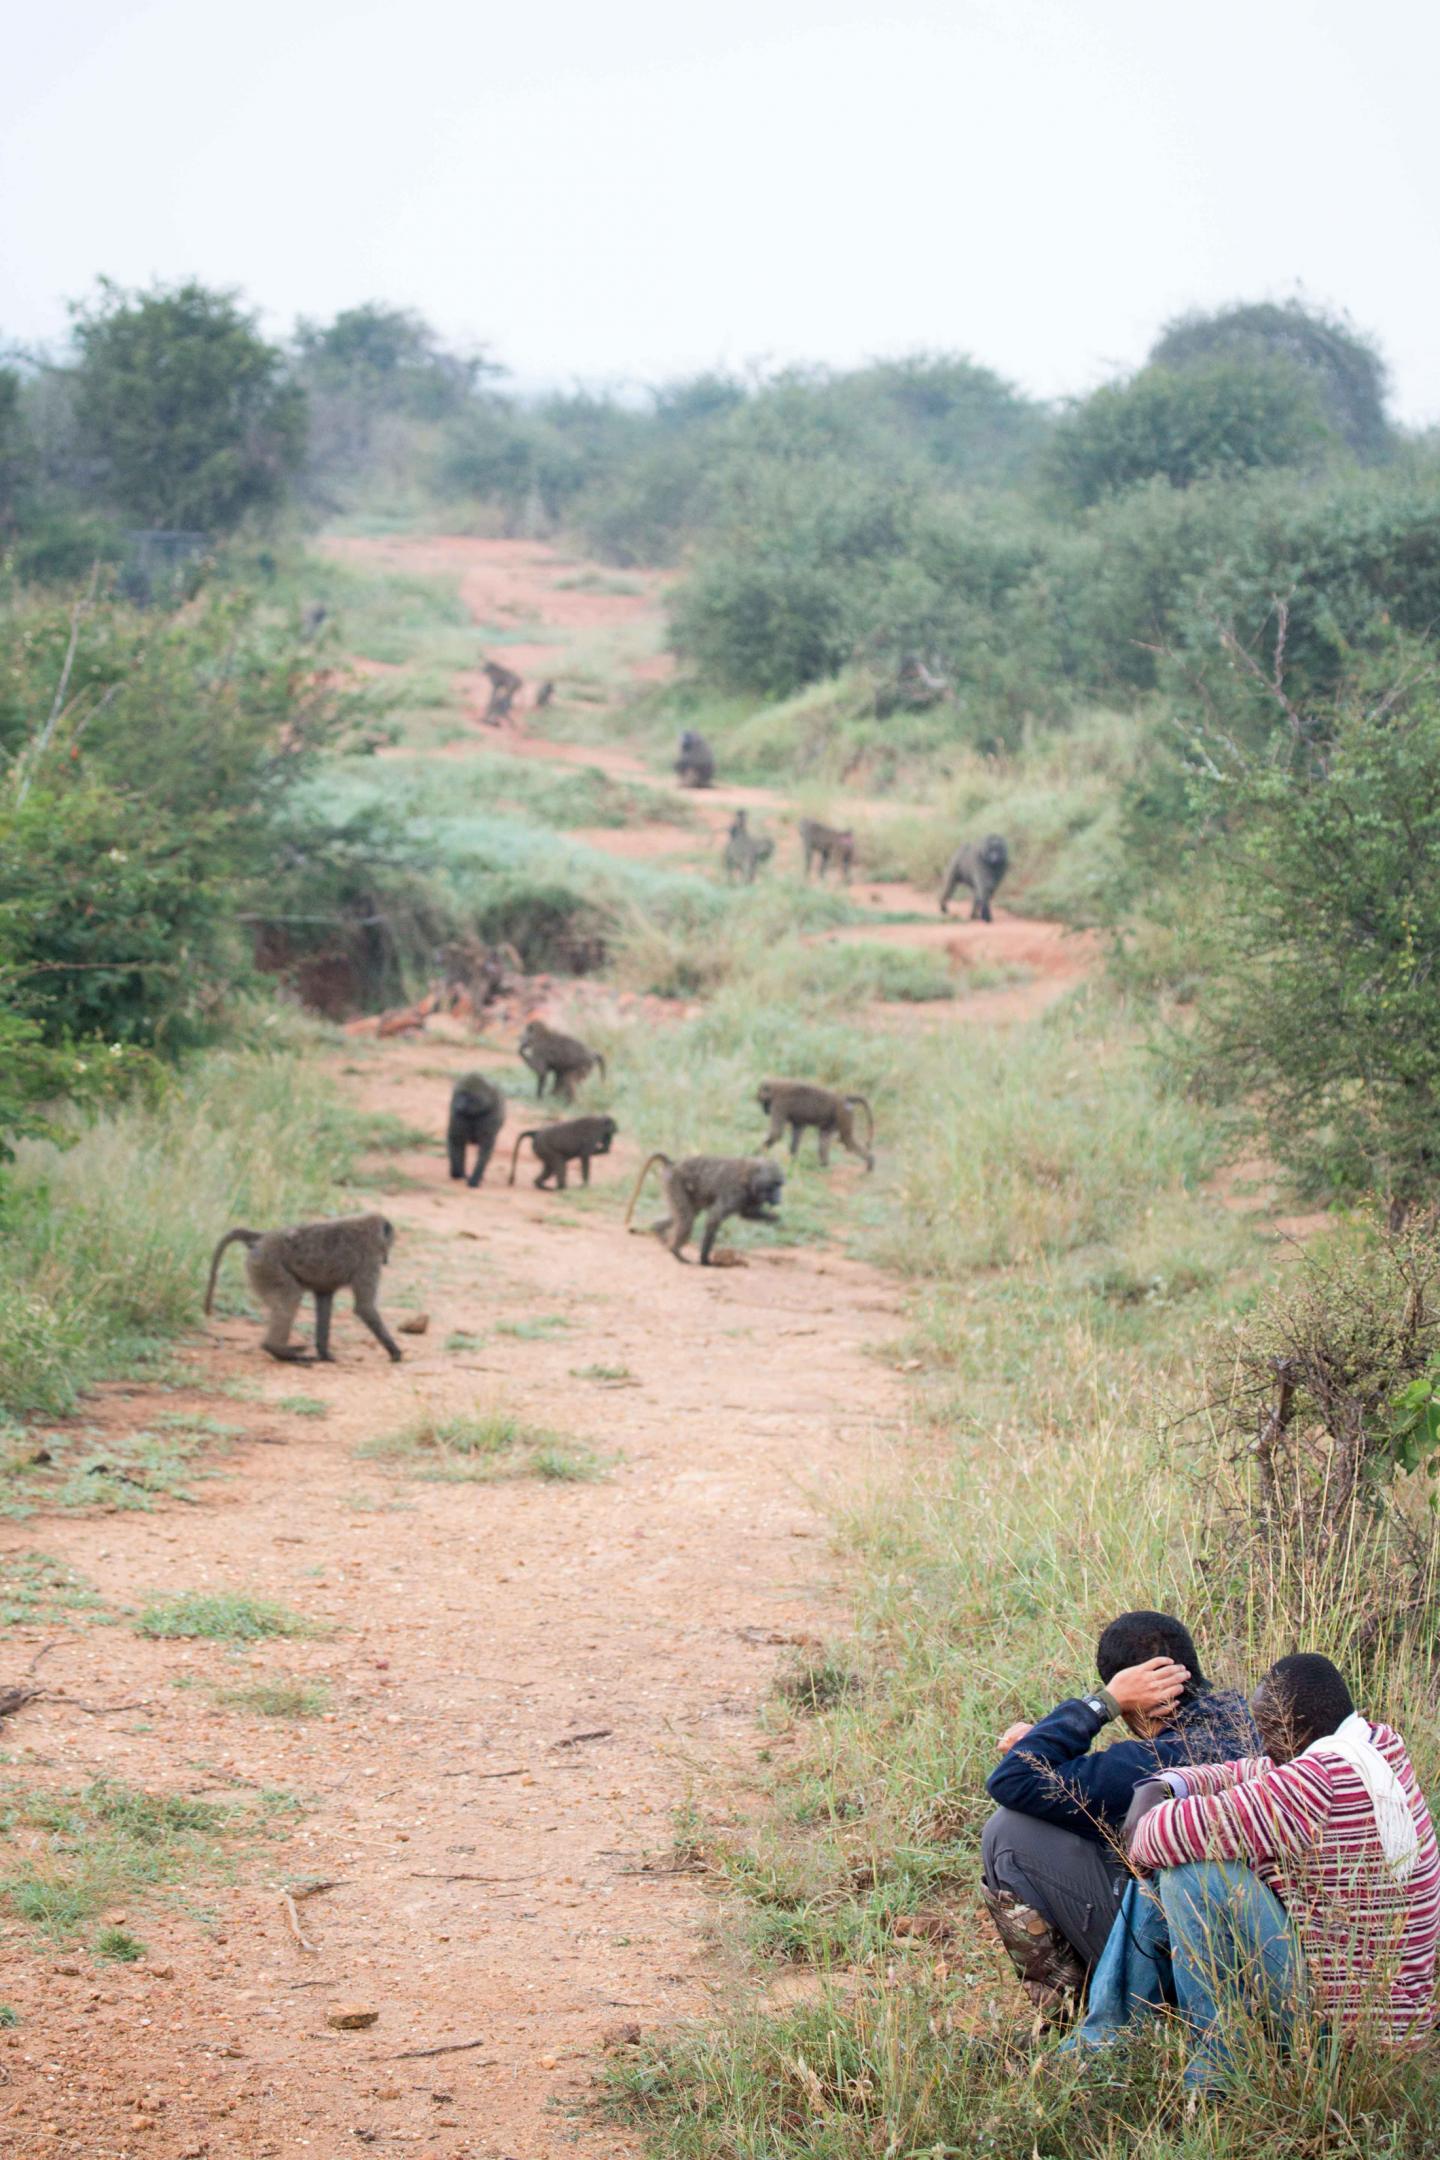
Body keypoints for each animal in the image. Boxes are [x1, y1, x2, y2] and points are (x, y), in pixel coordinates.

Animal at [204, 1215, 402, 1364]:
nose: (387, 1260)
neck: (369, 1230)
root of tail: (262, 1237)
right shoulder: (369, 1261)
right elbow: (364, 1307)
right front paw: (395, 1352)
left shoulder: (327, 1287)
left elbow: (324, 1299)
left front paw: (325, 1354)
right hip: (268, 1265)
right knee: (291, 1297)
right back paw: (279, 1350)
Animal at [624, 1153, 784, 1265]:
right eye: (774, 1185)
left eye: (780, 1184)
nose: (779, 1198)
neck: (750, 1176)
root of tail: (673, 1164)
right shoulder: (735, 1192)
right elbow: (714, 1219)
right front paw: (705, 1260)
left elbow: (747, 1213)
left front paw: (776, 1219)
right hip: (675, 1184)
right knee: (687, 1219)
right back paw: (677, 1253)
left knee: (686, 1215)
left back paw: (660, 1233)